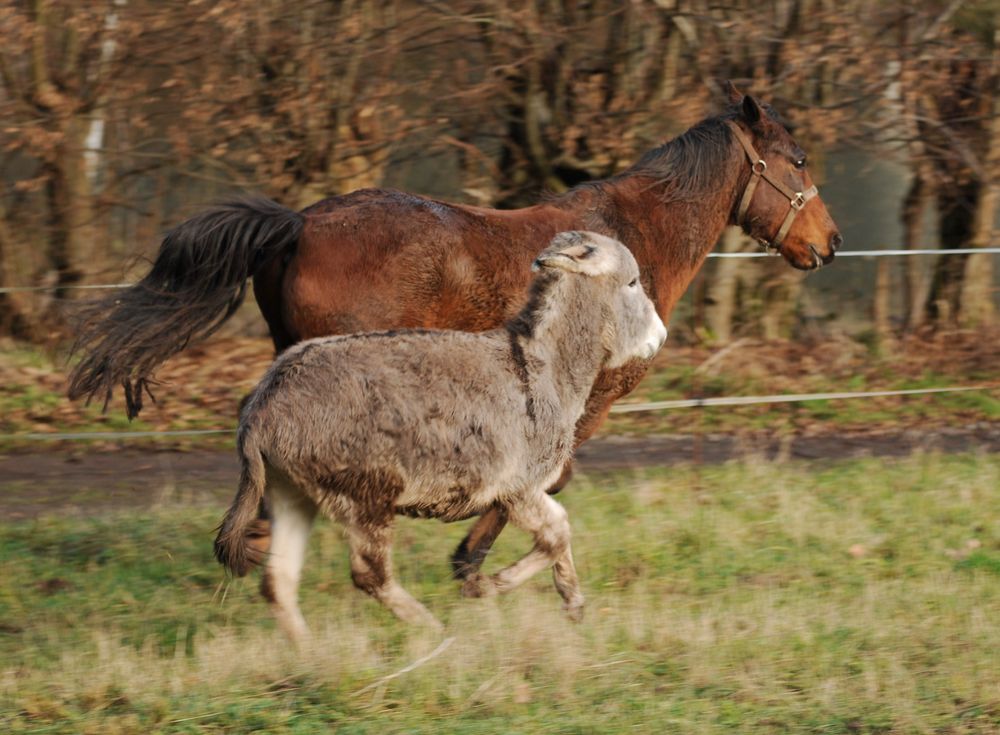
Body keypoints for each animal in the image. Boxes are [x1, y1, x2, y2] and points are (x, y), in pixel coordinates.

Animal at [66, 85, 840, 580]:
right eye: (798, 159)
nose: (829, 243)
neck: (633, 243)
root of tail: (297, 225)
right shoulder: (585, 402)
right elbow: (554, 474)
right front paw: (470, 558)